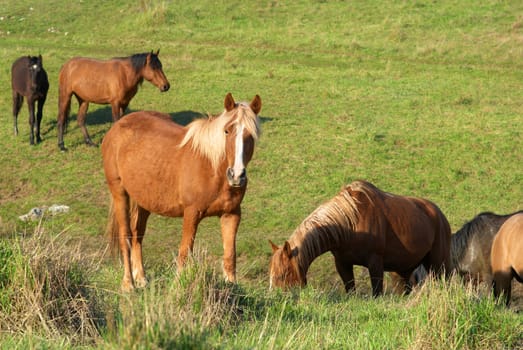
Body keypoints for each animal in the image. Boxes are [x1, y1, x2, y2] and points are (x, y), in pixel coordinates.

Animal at [102, 91, 262, 292]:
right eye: (227, 131)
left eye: (252, 135)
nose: (237, 175)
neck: (212, 167)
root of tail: (117, 127)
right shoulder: (191, 213)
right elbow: (185, 252)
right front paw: (179, 288)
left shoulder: (231, 214)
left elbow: (229, 255)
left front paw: (232, 288)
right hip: (119, 193)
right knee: (126, 236)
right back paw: (128, 284)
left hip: (143, 201)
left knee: (138, 234)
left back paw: (141, 279)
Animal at [268, 179, 452, 296]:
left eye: (283, 274)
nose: (277, 298)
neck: (349, 223)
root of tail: (439, 215)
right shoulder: (342, 263)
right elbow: (350, 290)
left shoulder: (375, 262)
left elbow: (376, 292)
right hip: (401, 271)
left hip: (438, 264)